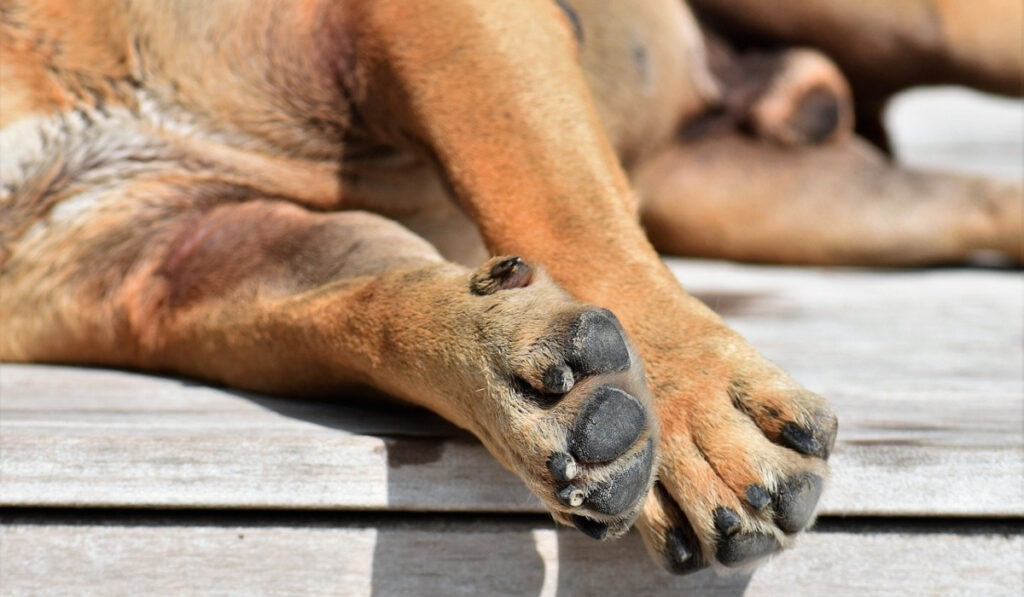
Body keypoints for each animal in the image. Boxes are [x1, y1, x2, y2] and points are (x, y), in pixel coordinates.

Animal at [0, 0, 1019, 573]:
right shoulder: (176, 252)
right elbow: (358, 305)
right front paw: (518, 382)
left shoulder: (433, 22)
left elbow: (554, 198)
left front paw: (689, 415)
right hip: (785, 199)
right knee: (983, 200)